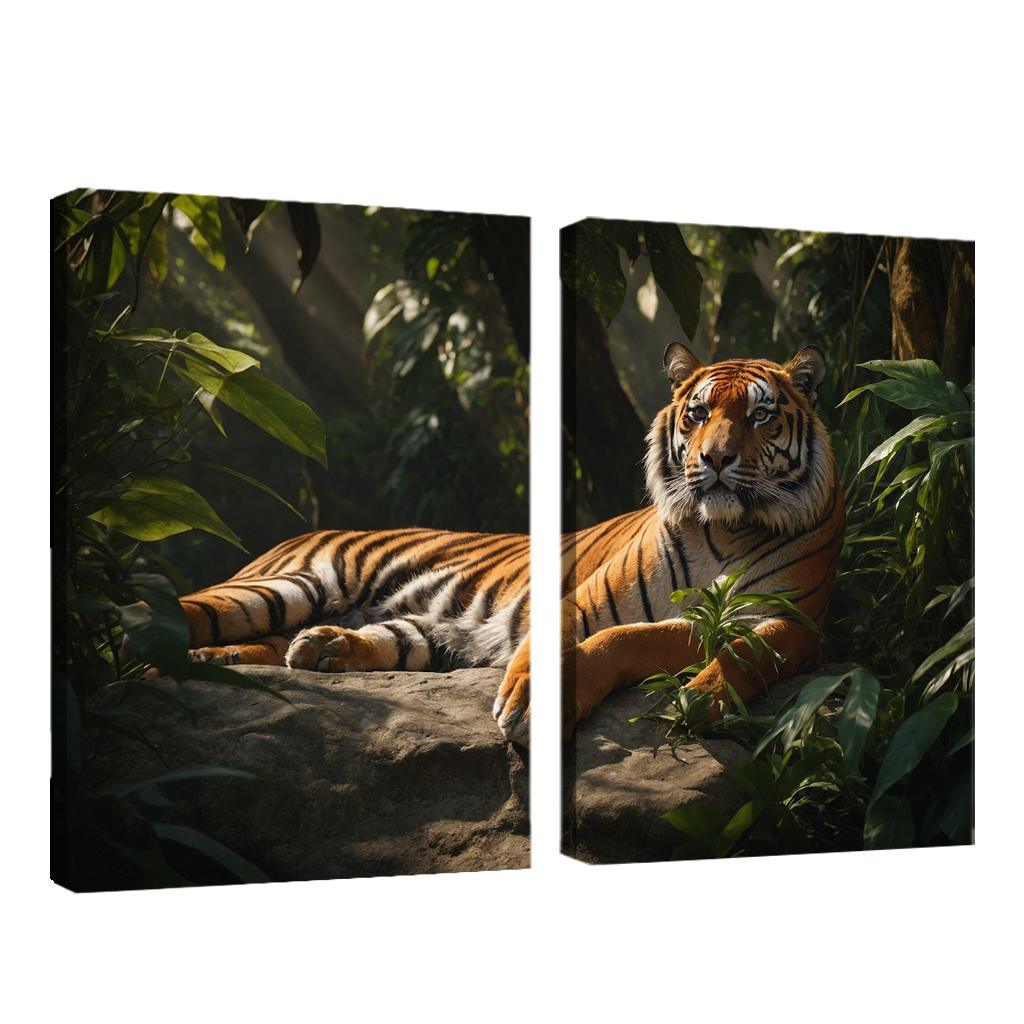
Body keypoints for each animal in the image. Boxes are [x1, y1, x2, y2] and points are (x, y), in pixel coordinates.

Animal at [179, 343, 843, 747]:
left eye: (759, 417)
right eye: (698, 414)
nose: (716, 459)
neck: (723, 529)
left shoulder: (792, 623)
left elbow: (724, 651)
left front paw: (701, 699)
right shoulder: (582, 601)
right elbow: (573, 644)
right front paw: (533, 702)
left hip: (416, 631)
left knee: (312, 641)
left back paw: (307, 650)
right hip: (291, 583)